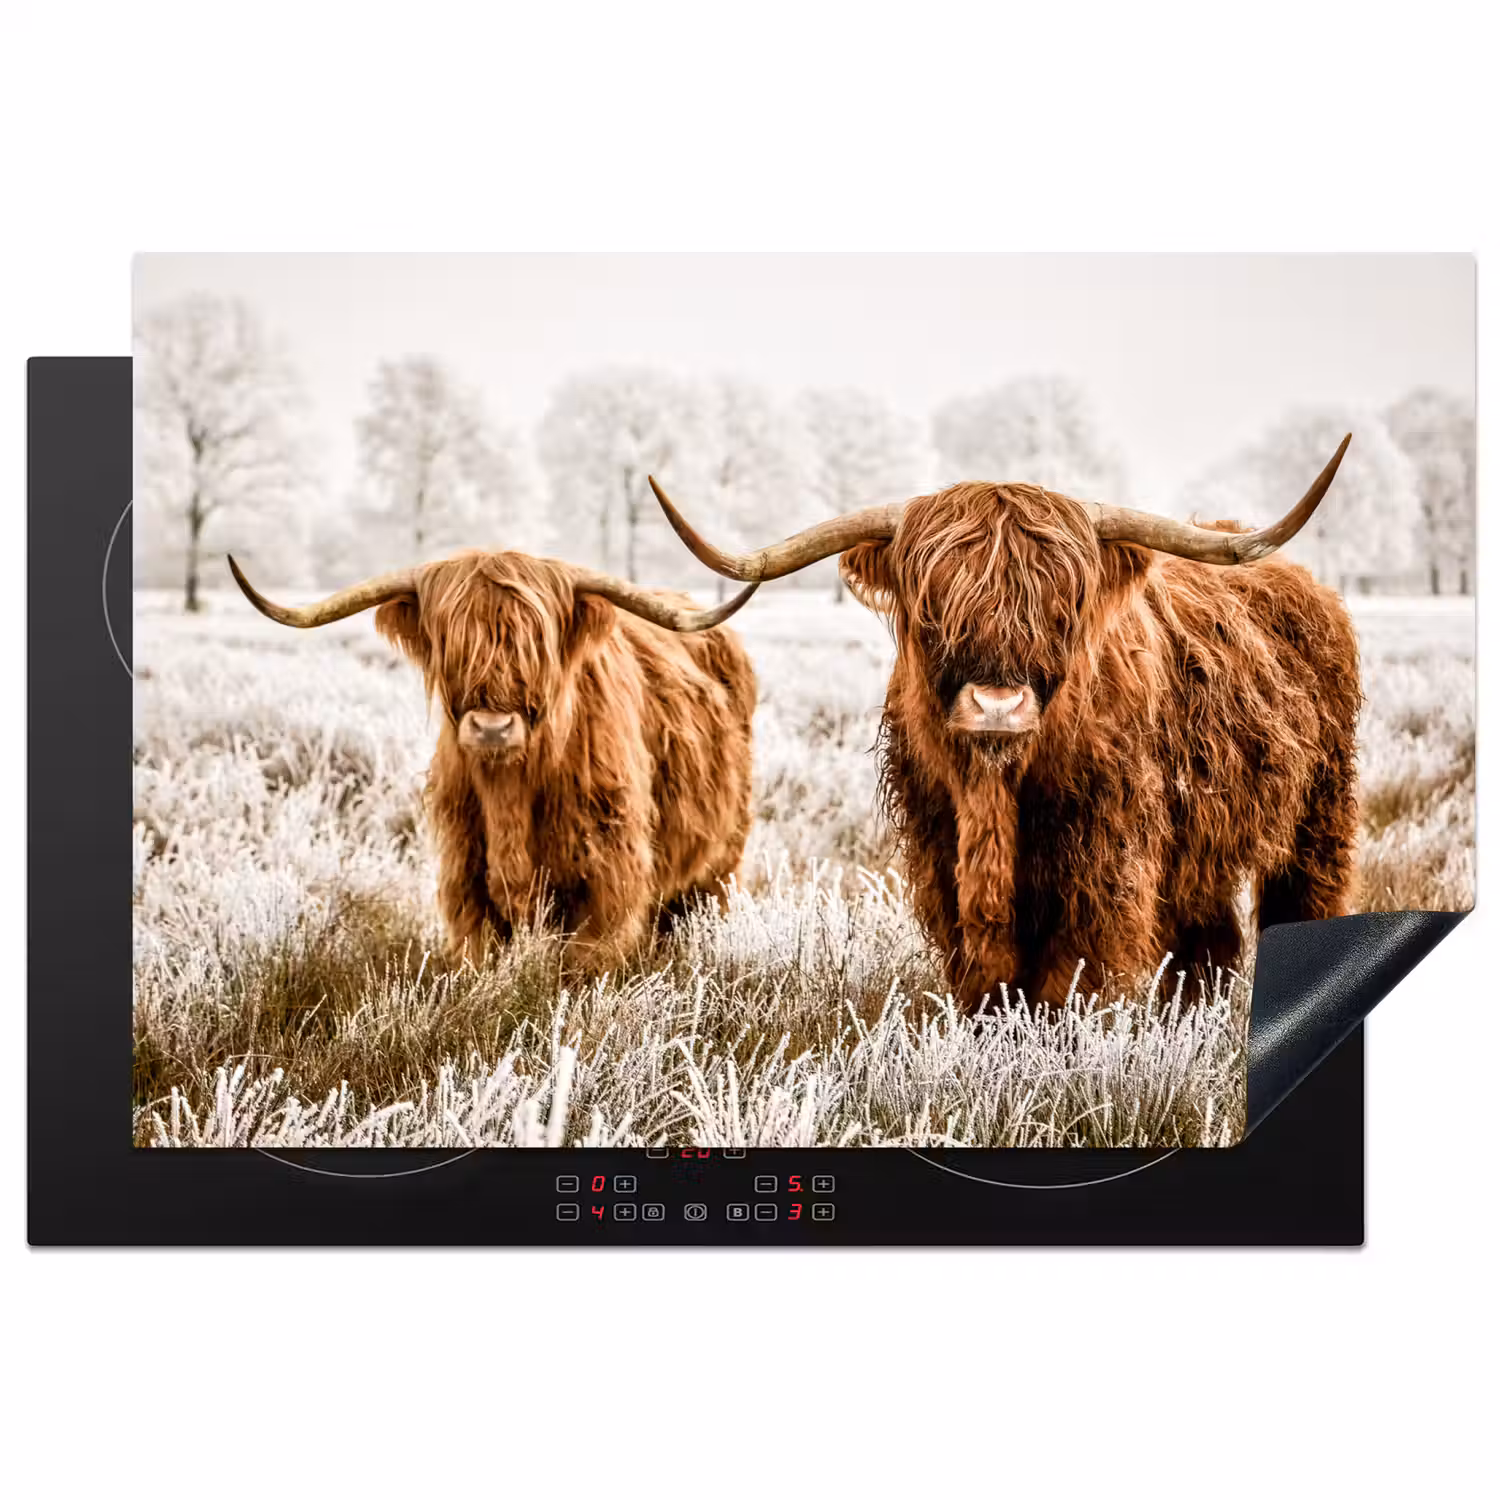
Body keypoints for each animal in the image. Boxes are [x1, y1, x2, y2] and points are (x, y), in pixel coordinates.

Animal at [229, 550, 759, 976]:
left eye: (536, 645)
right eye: (452, 645)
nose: (491, 727)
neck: (511, 793)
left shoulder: (609, 881)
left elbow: (585, 966)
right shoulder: (466, 882)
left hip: (719, 865)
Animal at [648, 438, 1360, 1011]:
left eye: (1061, 605)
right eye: (934, 606)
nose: (997, 706)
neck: (996, 793)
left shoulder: (1105, 867)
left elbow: (1068, 982)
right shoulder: (941, 855)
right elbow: (985, 980)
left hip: (1319, 815)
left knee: (1302, 903)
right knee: (1209, 941)